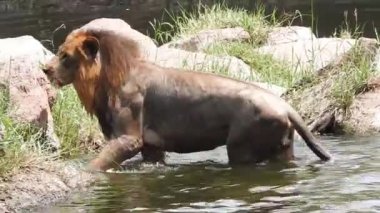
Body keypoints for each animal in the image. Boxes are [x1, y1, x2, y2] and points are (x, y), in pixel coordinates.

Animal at [42, 28, 332, 171]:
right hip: (283, 147)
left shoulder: (129, 138)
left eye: (65, 56)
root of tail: (286, 105)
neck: (101, 84)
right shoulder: (151, 146)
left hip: (242, 146)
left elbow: (97, 164)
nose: (45, 69)